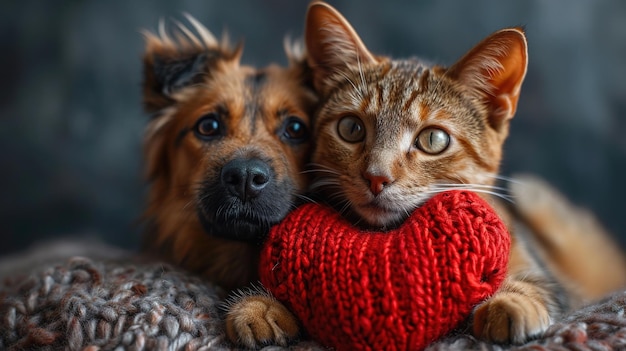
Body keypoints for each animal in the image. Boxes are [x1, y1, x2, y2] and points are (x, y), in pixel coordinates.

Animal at [302, 1, 624, 346]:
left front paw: (511, 301)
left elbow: (537, 281)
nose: (376, 177)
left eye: (433, 139)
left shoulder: (550, 276)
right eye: (351, 128)